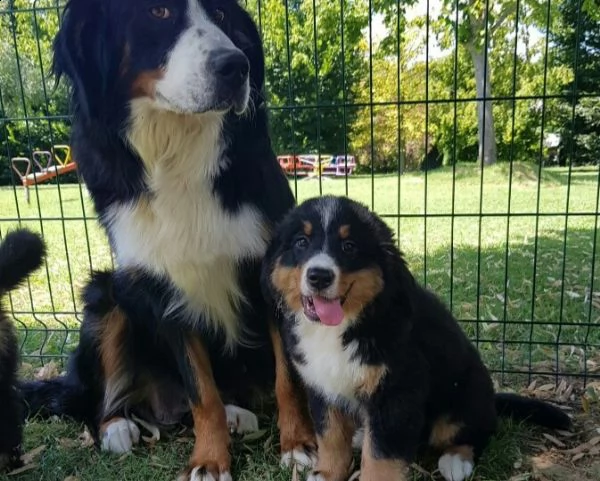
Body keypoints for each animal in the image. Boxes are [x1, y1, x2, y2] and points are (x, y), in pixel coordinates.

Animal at [21, 0, 316, 480]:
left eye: (221, 14)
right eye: (157, 12)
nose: (237, 66)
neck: (177, 148)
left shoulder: (277, 269)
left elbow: (286, 376)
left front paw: (300, 445)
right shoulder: (161, 285)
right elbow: (201, 391)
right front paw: (210, 460)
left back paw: (237, 414)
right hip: (109, 292)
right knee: (98, 399)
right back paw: (117, 427)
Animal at [262, 195, 572, 480]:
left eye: (349, 246)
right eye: (301, 242)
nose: (319, 276)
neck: (345, 325)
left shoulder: (397, 393)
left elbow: (381, 457)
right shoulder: (323, 386)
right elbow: (331, 438)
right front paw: (326, 473)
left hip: (461, 397)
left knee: (477, 430)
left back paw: (456, 461)